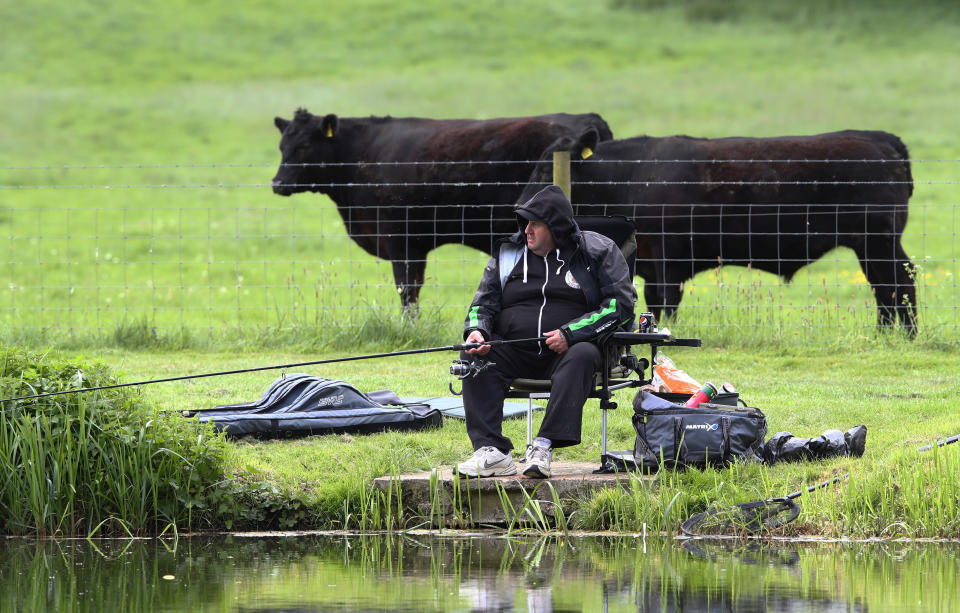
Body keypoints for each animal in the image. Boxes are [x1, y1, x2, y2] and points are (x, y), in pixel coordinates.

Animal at [516, 130, 916, 338]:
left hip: (879, 241)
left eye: (543, 172)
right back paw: (886, 335)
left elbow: (667, 303)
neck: (632, 177)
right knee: (886, 289)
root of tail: (880, 139)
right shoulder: (652, 262)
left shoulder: (670, 258)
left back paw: (904, 336)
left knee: (900, 283)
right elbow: (654, 302)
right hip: (871, 245)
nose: (519, 209)